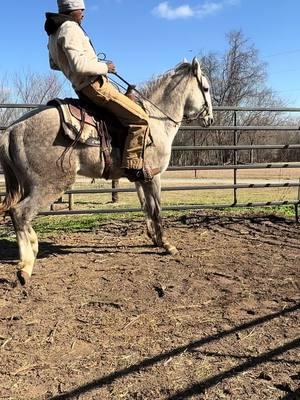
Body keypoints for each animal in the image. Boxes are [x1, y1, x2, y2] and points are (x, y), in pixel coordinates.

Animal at [0, 58, 213, 284]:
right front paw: (166, 244)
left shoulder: (140, 179)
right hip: (49, 186)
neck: (155, 121)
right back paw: (26, 265)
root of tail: (12, 130)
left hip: (29, 186)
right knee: (20, 213)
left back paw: (33, 247)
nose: (210, 119)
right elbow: (157, 209)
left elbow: (146, 208)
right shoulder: (154, 177)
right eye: (206, 88)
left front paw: (154, 239)